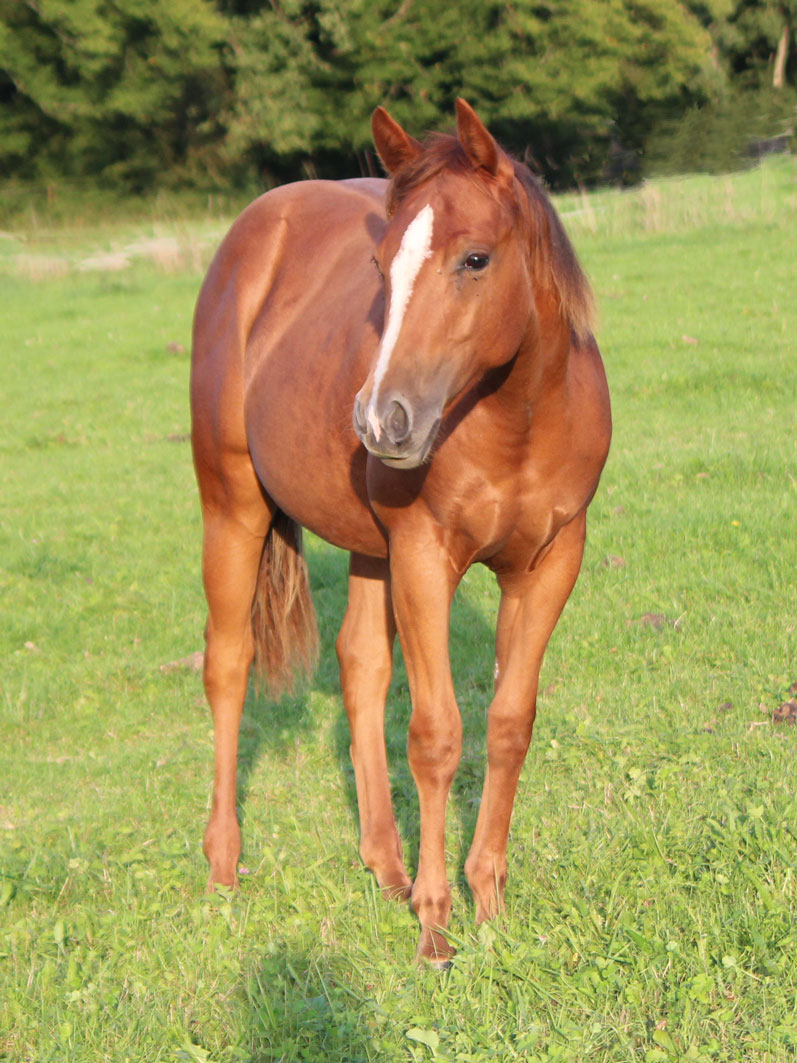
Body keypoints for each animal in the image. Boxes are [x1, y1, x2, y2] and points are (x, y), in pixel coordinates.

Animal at [190, 99, 611, 964]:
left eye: (475, 259)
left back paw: (385, 867)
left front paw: (489, 904)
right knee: (229, 665)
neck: (517, 419)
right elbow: (437, 733)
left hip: (366, 547)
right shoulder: (423, 556)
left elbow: (507, 724)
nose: (382, 420)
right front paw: (436, 927)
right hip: (233, 508)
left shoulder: (549, 563)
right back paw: (223, 868)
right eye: (379, 269)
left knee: (359, 664)